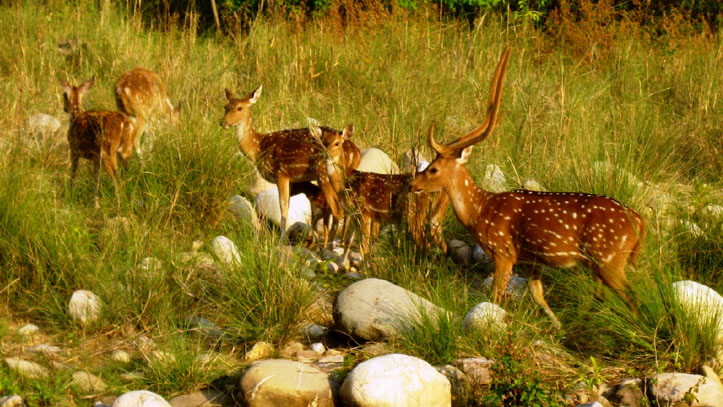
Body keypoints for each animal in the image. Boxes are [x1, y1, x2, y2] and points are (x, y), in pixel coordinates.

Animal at [62, 76, 143, 206]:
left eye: (64, 95)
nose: (64, 108)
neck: (76, 115)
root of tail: (125, 123)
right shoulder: (96, 158)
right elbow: (96, 178)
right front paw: (96, 204)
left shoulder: (74, 150)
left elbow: (73, 173)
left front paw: (68, 195)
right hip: (125, 149)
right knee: (125, 170)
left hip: (107, 150)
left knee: (115, 173)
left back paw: (119, 203)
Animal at [219, 86, 358, 239]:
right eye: (225, 106)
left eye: (240, 108)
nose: (222, 122)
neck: (259, 148)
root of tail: (354, 153)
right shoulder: (291, 179)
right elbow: (288, 206)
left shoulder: (281, 173)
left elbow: (283, 207)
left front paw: (282, 239)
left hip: (324, 174)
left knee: (338, 209)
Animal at [410, 48, 648, 328]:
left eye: (433, 169)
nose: (412, 184)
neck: (480, 211)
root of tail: (640, 221)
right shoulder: (530, 260)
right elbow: (537, 294)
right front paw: (558, 327)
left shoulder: (503, 250)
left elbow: (497, 293)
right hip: (600, 264)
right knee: (603, 296)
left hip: (609, 257)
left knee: (634, 298)